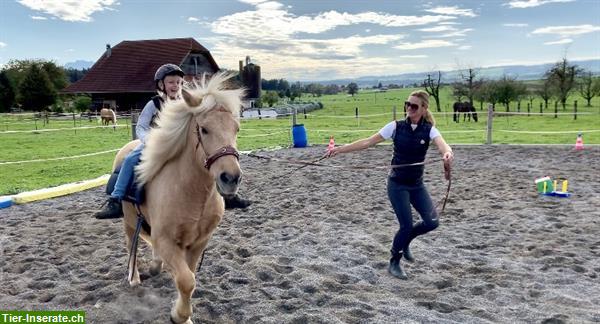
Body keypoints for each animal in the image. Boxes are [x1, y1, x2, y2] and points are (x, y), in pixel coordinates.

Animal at [110, 73, 244, 324]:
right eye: (204, 129)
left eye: (236, 129)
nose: (230, 178)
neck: (191, 194)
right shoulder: (166, 241)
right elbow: (186, 280)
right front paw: (179, 316)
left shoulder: (198, 242)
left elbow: (188, 277)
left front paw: (184, 315)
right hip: (130, 222)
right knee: (131, 244)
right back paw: (134, 277)